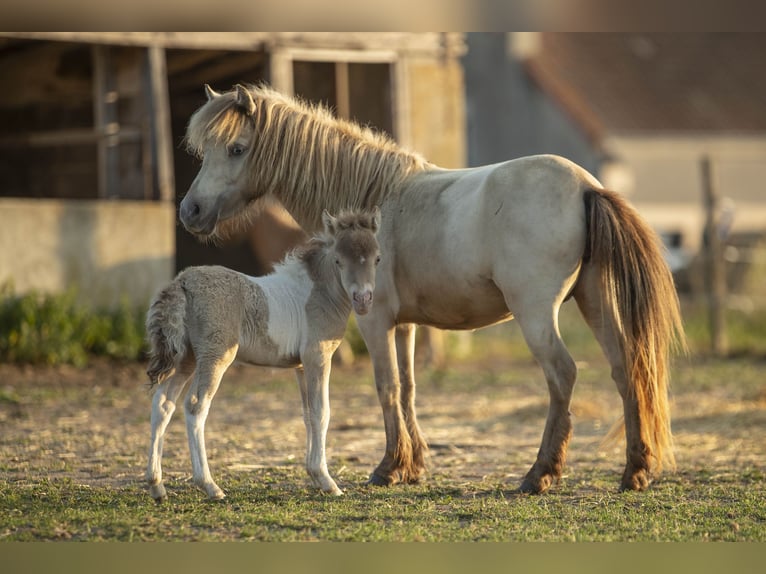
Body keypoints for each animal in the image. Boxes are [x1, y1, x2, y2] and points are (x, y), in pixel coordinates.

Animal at [143, 209, 380, 502]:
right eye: (338, 260)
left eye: (377, 258)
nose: (363, 300)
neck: (317, 292)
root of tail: (182, 282)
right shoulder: (318, 356)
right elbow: (322, 412)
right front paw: (327, 481)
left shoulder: (301, 366)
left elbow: (307, 414)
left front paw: (314, 476)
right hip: (215, 356)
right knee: (196, 406)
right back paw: (210, 485)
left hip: (185, 358)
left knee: (163, 404)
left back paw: (157, 485)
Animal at [177, 84, 688, 496]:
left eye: (237, 148)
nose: (190, 210)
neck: (373, 203)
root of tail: (586, 187)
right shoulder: (405, 326)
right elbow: (407, 389)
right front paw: (413, 466)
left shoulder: (375, 319)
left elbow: (385, 387)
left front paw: (387, 468)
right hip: (594, 300)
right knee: (627, 369)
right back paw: (635, 472)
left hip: (537, 313)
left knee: (563, 375)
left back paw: (539, 475)